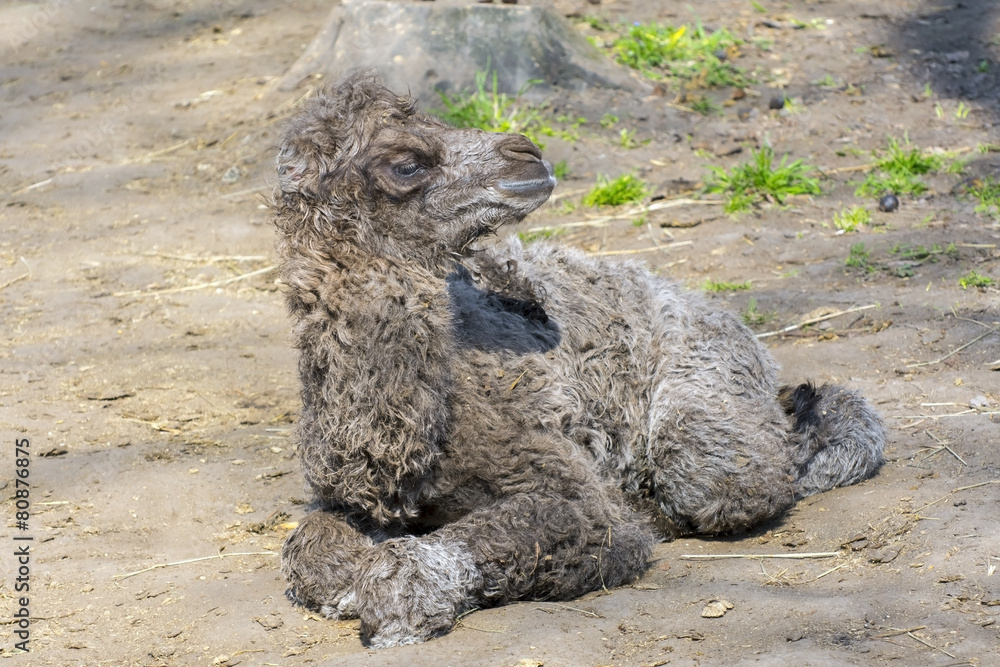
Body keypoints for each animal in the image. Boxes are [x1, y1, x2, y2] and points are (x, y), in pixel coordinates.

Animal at [271, 72, 886, 648]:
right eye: (406, 165)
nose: (527, 154)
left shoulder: (559, 477)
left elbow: (578, 525)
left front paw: (402, 602)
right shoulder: (346, 494)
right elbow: (310, 553)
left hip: (708, 379)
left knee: (740, 469)